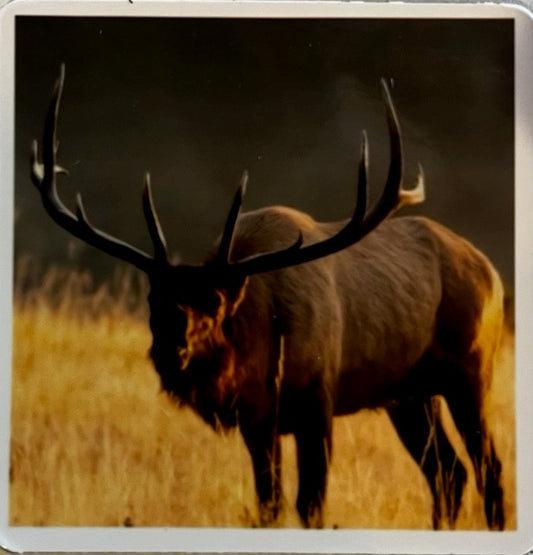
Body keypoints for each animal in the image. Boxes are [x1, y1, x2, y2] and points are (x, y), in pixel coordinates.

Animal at [29, 65, 502, 528]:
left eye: (216, 301)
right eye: (152, 298)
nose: (169, 350)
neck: (262, 345)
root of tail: (492, 273)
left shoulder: (318, 400)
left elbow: (310, 505)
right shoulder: (257, 419)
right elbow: (268, 505)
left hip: (470, 371)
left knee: (487, 469)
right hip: (409, 394)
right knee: (449, 473)